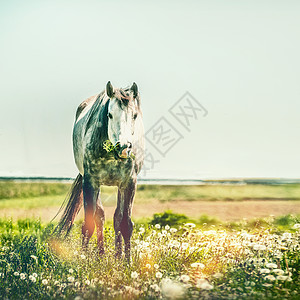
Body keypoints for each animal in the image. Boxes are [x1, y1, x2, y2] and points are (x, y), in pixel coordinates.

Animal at [56, 81, 145, 258]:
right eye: (109, 115)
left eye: (135, 115)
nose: (123, 148)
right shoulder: (90, 182)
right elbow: (89, 225)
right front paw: (84, 260)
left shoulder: (129, 183)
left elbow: (125, 224)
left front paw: (126, 262)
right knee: (100, 217)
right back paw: (101, 255)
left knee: (117, 217)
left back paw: (117, 256)